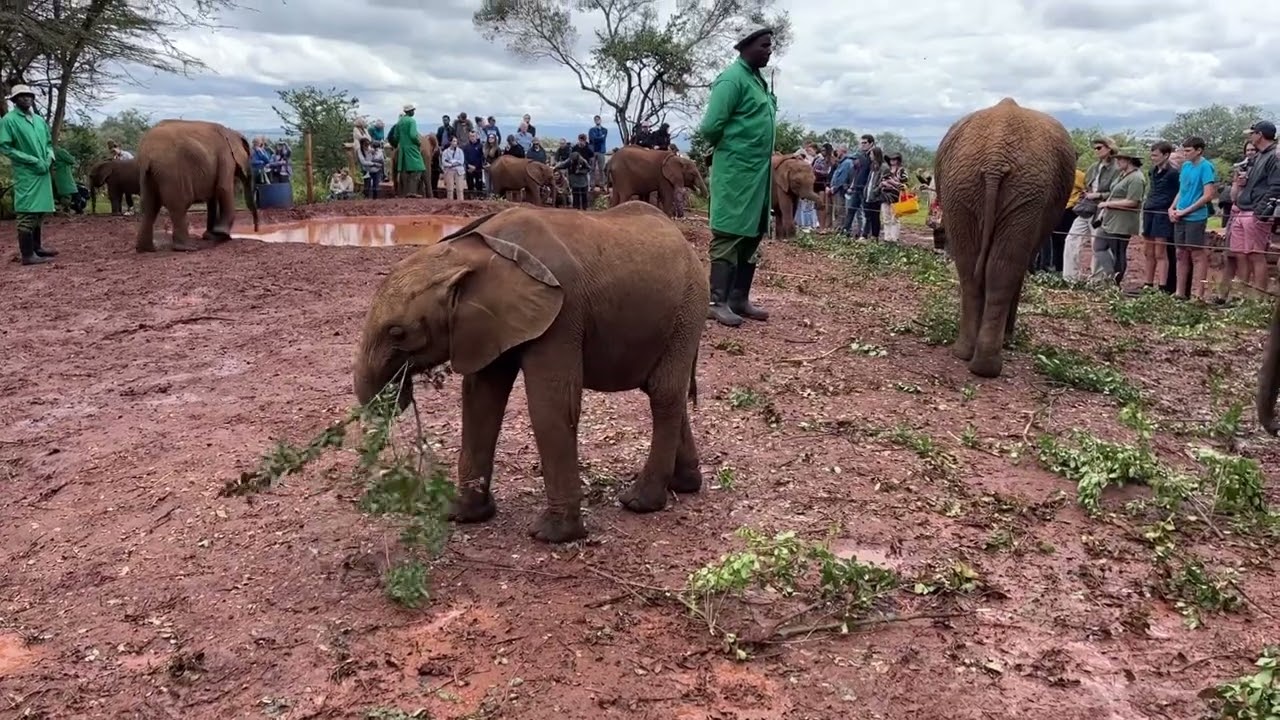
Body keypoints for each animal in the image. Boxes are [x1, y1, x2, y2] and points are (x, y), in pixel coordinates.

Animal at [135, 119, 260, 253]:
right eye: (250, 156)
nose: (256, 230)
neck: (231, 132)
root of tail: (147, 154)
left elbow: (212, 197)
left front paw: (211, 236)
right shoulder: (226, 156)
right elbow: (224, 188)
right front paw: (222, 235)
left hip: (147, 174)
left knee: (149, 207)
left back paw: (146, 249)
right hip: (172, 172)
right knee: (178, 206)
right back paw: (187, 247)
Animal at [352, 200, 708, 543]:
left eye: (398, 333)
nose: (399, 395)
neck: (478, 252)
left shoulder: (562, 315)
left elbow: (550, 404)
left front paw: (551, 535)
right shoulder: (489, 323)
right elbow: (481, 397)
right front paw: (461, 514)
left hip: (688, 310)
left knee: (663, 393)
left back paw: (639, 502)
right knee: (665, 391)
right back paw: (684, 485)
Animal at [934, 97, 1076, 377]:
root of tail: (994, 159)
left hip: (963, 186)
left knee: (970, 266)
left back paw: (967, 355)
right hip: (1026, 192)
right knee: (1003, 269)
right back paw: (988, 363)